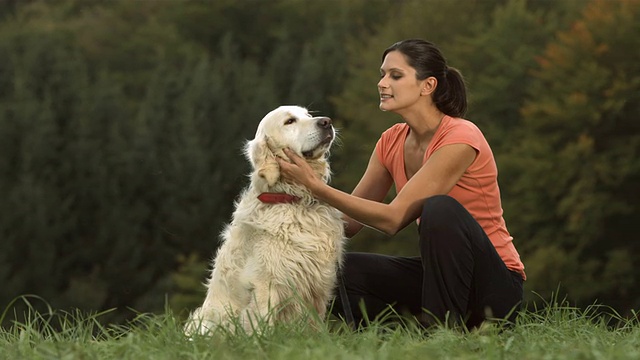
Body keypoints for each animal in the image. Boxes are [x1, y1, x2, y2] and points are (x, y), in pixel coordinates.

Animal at [185, 105, 344, 336]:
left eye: (308, 114)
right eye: (289, 121)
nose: (327, 122)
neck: (293, 200)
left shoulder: (318, 286)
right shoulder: (266, 284)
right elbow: (262, 327)